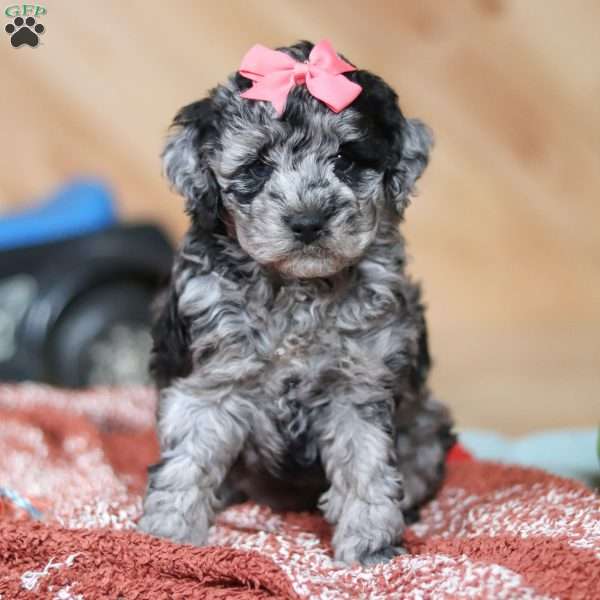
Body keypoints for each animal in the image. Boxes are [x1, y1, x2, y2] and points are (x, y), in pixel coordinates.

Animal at [137, 39, 454, 564]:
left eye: (345, 159)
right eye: (258, 166)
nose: (308, 222)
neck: (296, 289)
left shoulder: (358, 384)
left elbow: (365, 462)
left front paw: (370, 544)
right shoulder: (210, 381)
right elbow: (188, 459)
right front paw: (169, 535)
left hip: (426, 422)